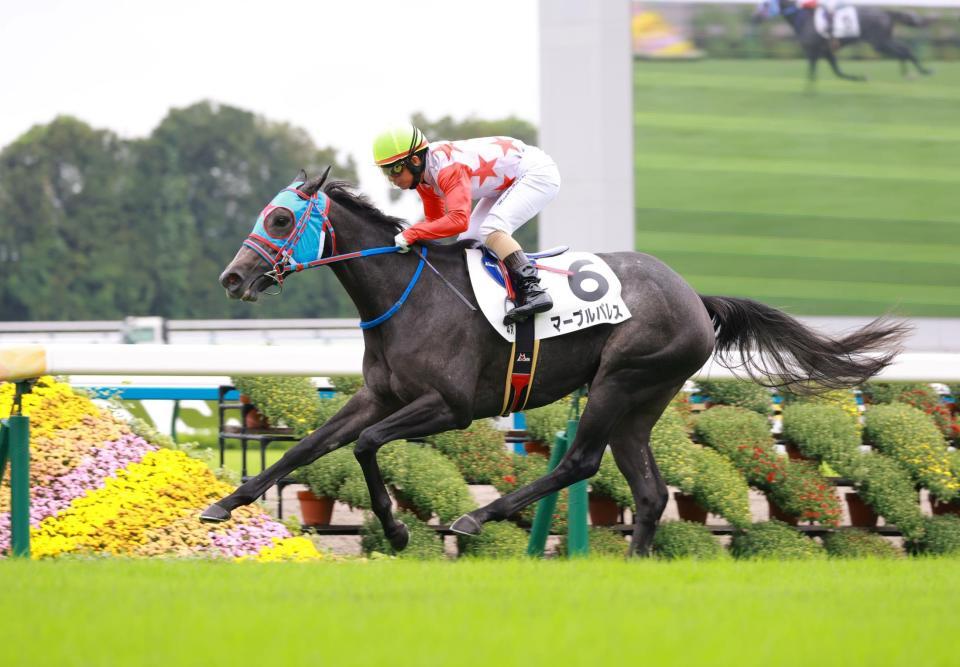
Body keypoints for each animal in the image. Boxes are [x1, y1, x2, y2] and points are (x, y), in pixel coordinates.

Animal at [200, 170, 908, 556]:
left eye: (281, 218)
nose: (231, 277)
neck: (410, 293)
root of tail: (694, 297)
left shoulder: (450, 406)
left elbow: (367, 445)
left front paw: (399, 531)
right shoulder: (381, 394)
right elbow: (307, 447)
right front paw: (224, 503)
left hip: (621, 379)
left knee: (579, 461)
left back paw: (477, 517)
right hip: (640, 403)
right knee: (649, 491)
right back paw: (632, 565)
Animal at [755, 0, 933, 82]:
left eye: (765, 4)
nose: (754, 17)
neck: (802, 17)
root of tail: (886, 13)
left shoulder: (813, 50)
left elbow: (813, 72)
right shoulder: (826, 51)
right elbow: (837, 72)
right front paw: (859, 78)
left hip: (880, 42)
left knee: (904, 51)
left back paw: (918, 72)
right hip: (884, 41)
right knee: (904, 50)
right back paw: (913, 72)